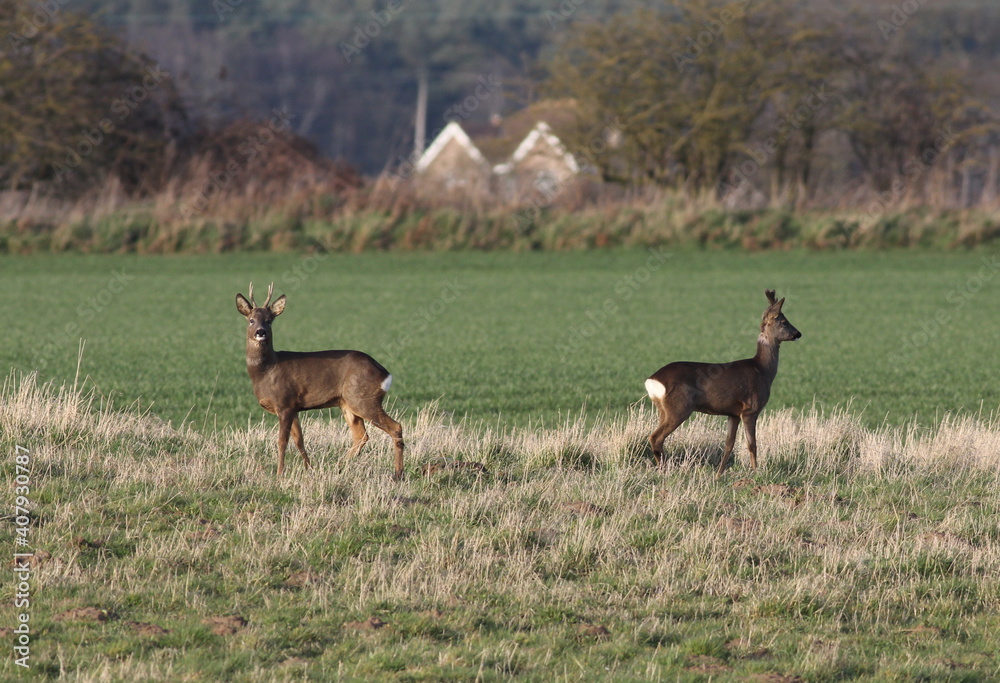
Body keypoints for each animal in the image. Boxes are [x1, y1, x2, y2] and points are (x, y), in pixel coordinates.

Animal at [235, 283, 405, 480]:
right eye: (251, 320)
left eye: (269, 320)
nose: (260, 332)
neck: (266, 370)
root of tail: (385, 373)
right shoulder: (293, 406)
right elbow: (299, 440)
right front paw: (310, 469)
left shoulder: (284, 403)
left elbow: (282, 441)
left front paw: (279, 474)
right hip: (347, 404)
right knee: (361, 436)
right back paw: (338, 466)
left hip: (363, 399)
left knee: (395, 427)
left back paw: (398, 473)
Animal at [644, 289, 801, 476]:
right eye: (784, 322)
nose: (798, 334)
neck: (762, 370)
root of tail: (652, 380)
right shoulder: (750, 409)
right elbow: (752, 444)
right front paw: (756, 472)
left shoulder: (733, 413)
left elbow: (729, 445)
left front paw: (719, 474)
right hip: (679, 407)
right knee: (656, 437)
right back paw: (665, 470)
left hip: (663, 409)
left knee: (656, 437)